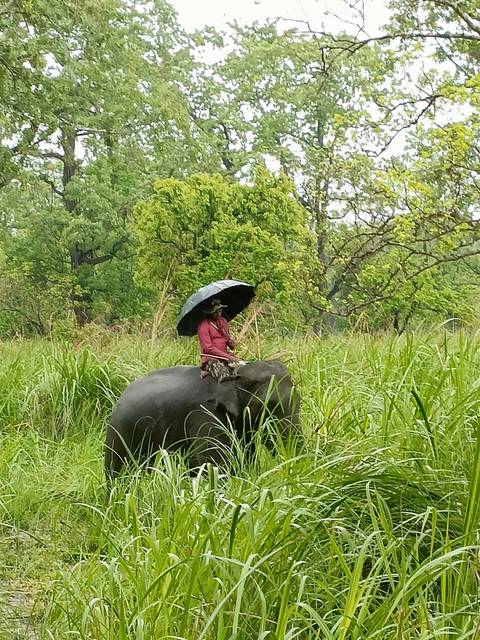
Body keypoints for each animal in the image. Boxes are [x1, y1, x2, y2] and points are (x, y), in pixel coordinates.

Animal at [104, 360, 300, 479]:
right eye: (267, 405)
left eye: (300, 400)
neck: (234, 375)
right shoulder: (205, 414)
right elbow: (217, 466)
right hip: (119, 433)